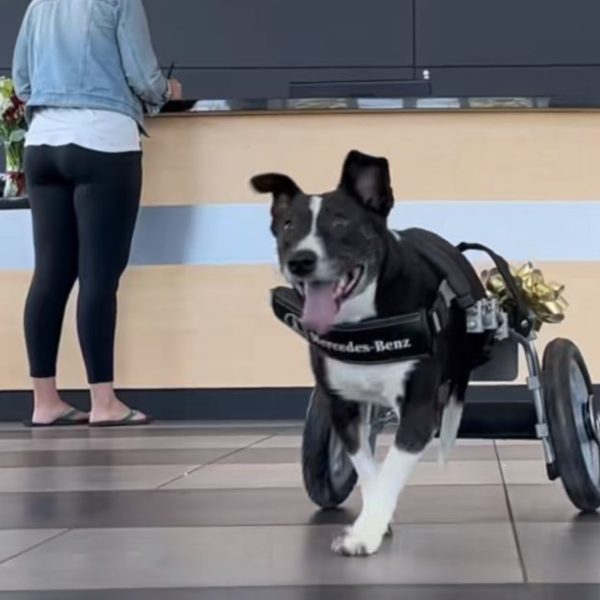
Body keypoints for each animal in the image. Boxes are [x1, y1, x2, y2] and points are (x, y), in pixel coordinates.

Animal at [248, 151, 488, 556]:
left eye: (341, 221)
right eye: (287, 225)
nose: (300, 260)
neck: (363, 321)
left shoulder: (418, 411)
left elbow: (391, 469)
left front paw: (365, 533)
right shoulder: (343, 409)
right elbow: (368, 469)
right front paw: (375, 519)